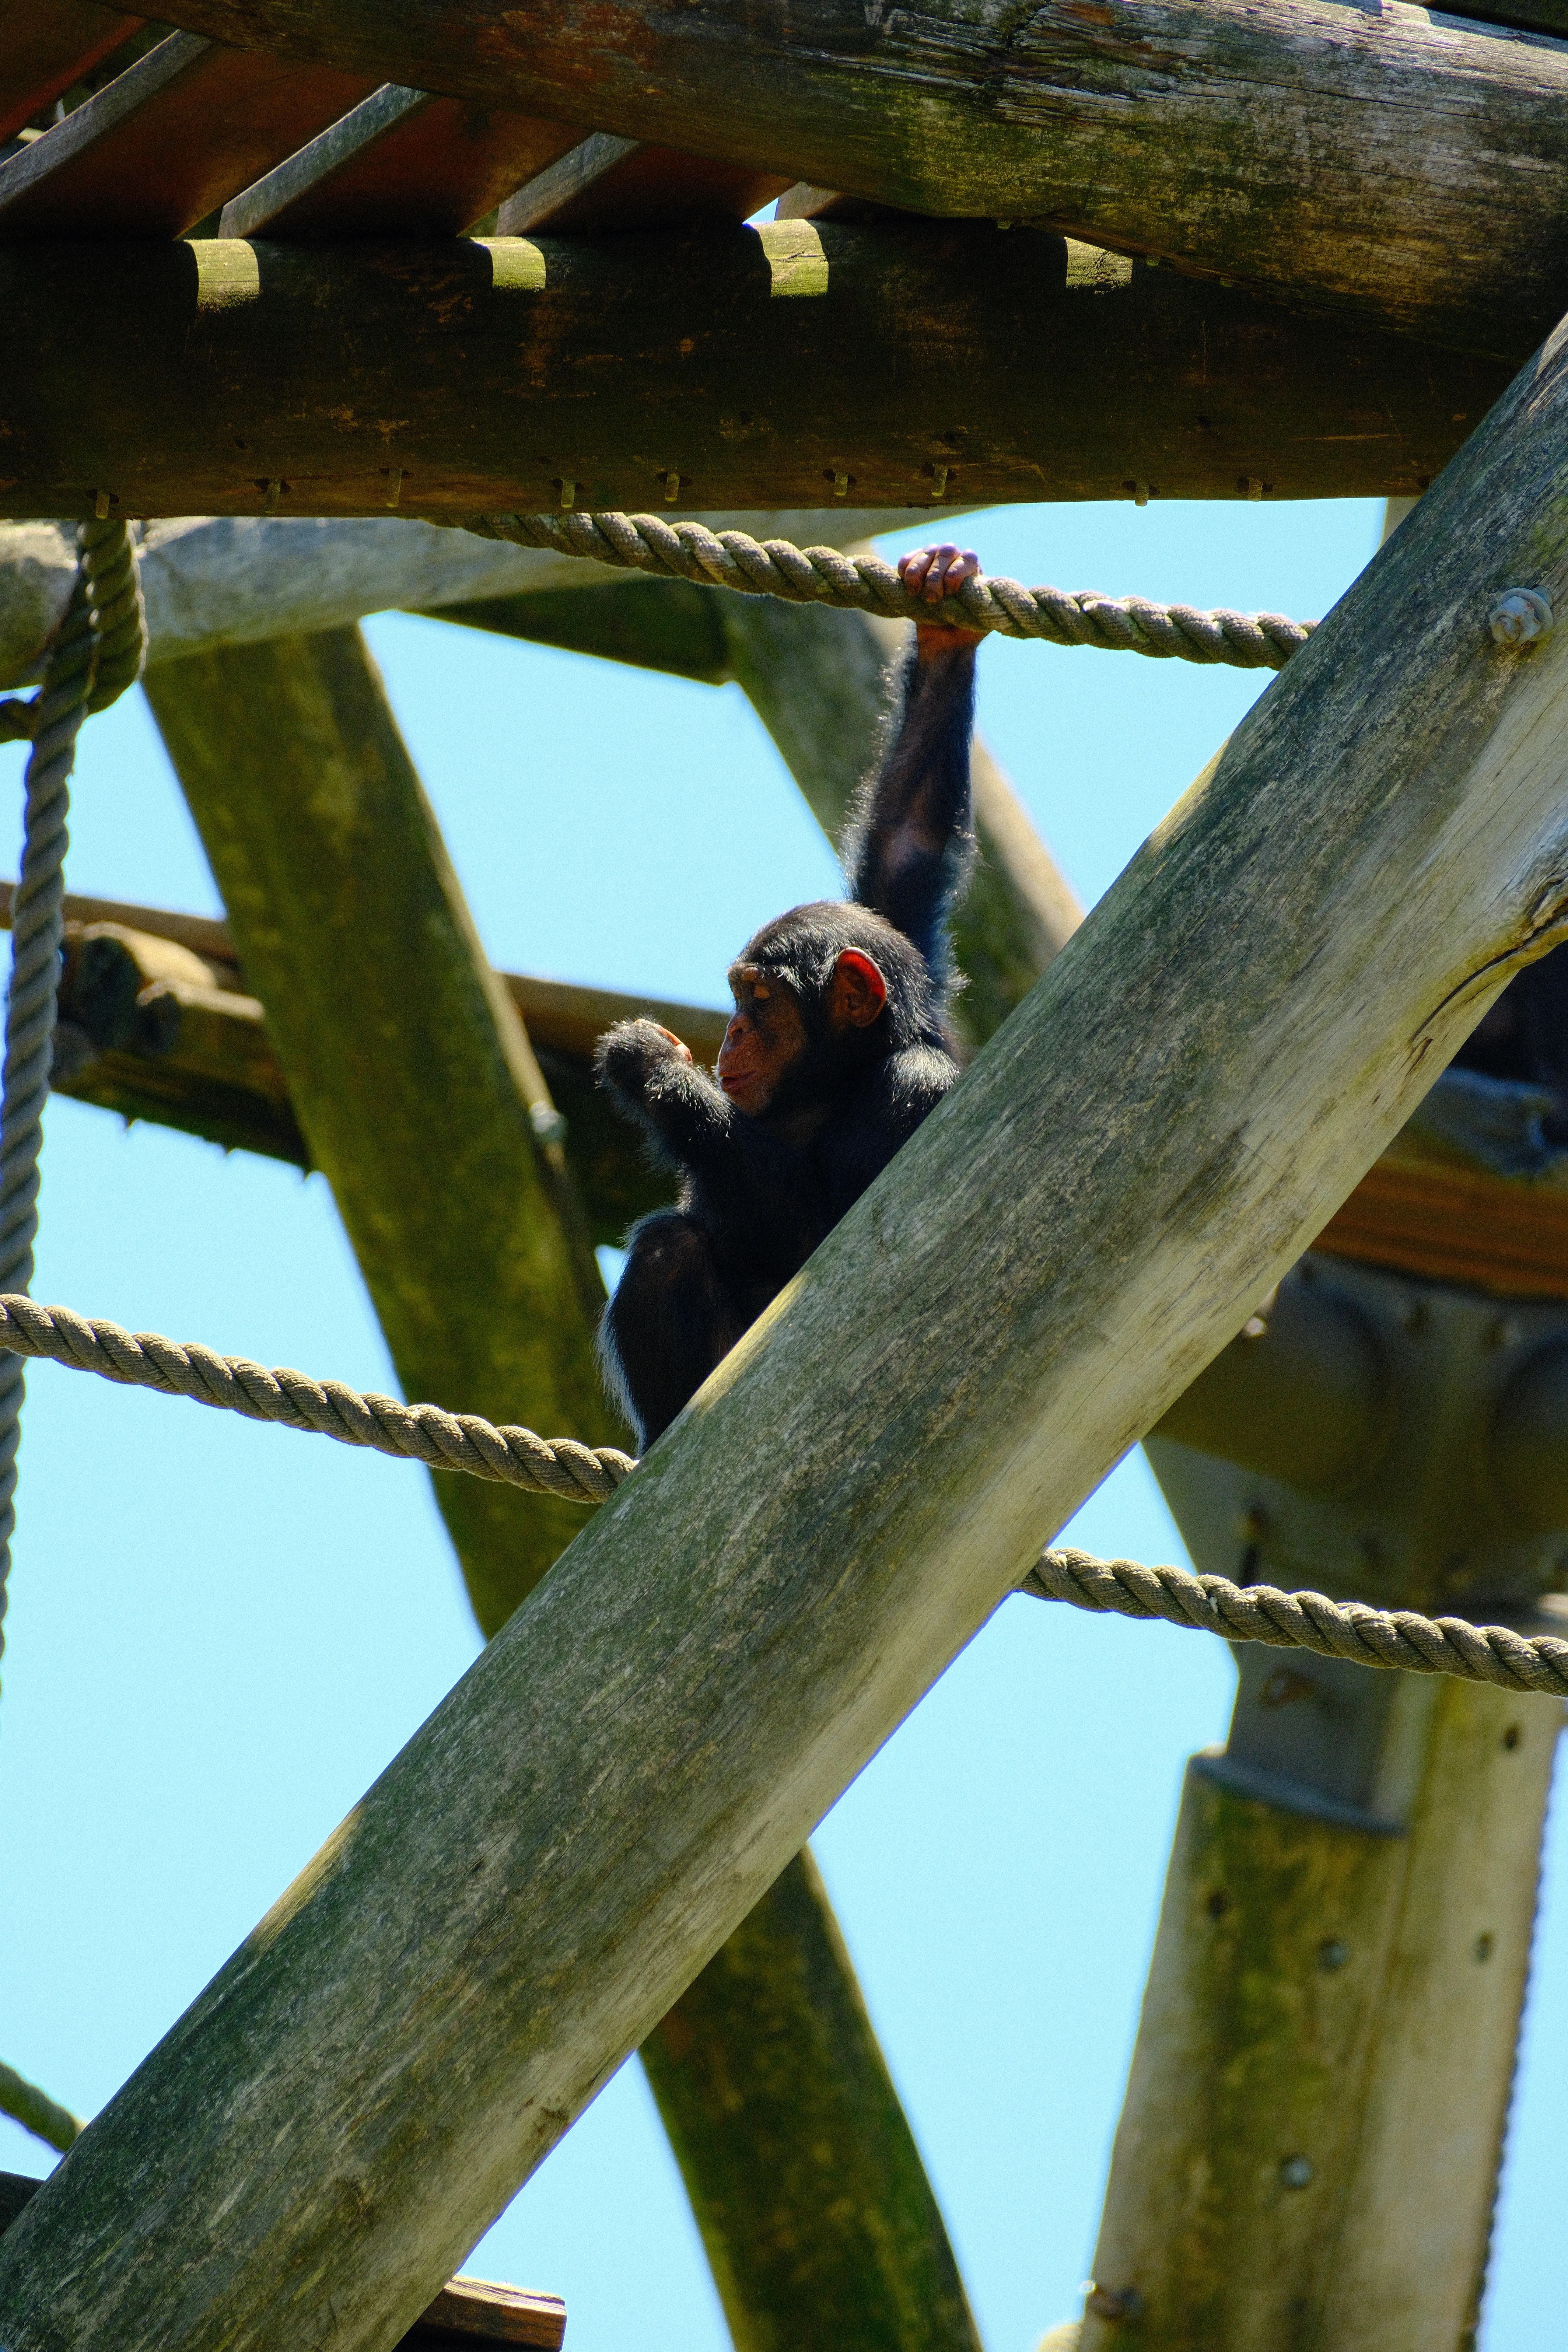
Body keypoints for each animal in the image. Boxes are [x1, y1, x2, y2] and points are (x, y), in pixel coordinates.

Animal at [592, 541, 984, 1449]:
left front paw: (652, 1069)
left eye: (760, 1002)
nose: (732, 1035)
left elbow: (833, 1252)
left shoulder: (917, 1093)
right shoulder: (902, 926)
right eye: (736, 996)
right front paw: (944, 621)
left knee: (668, 1244)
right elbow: (906, 846)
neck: (831, 1080)